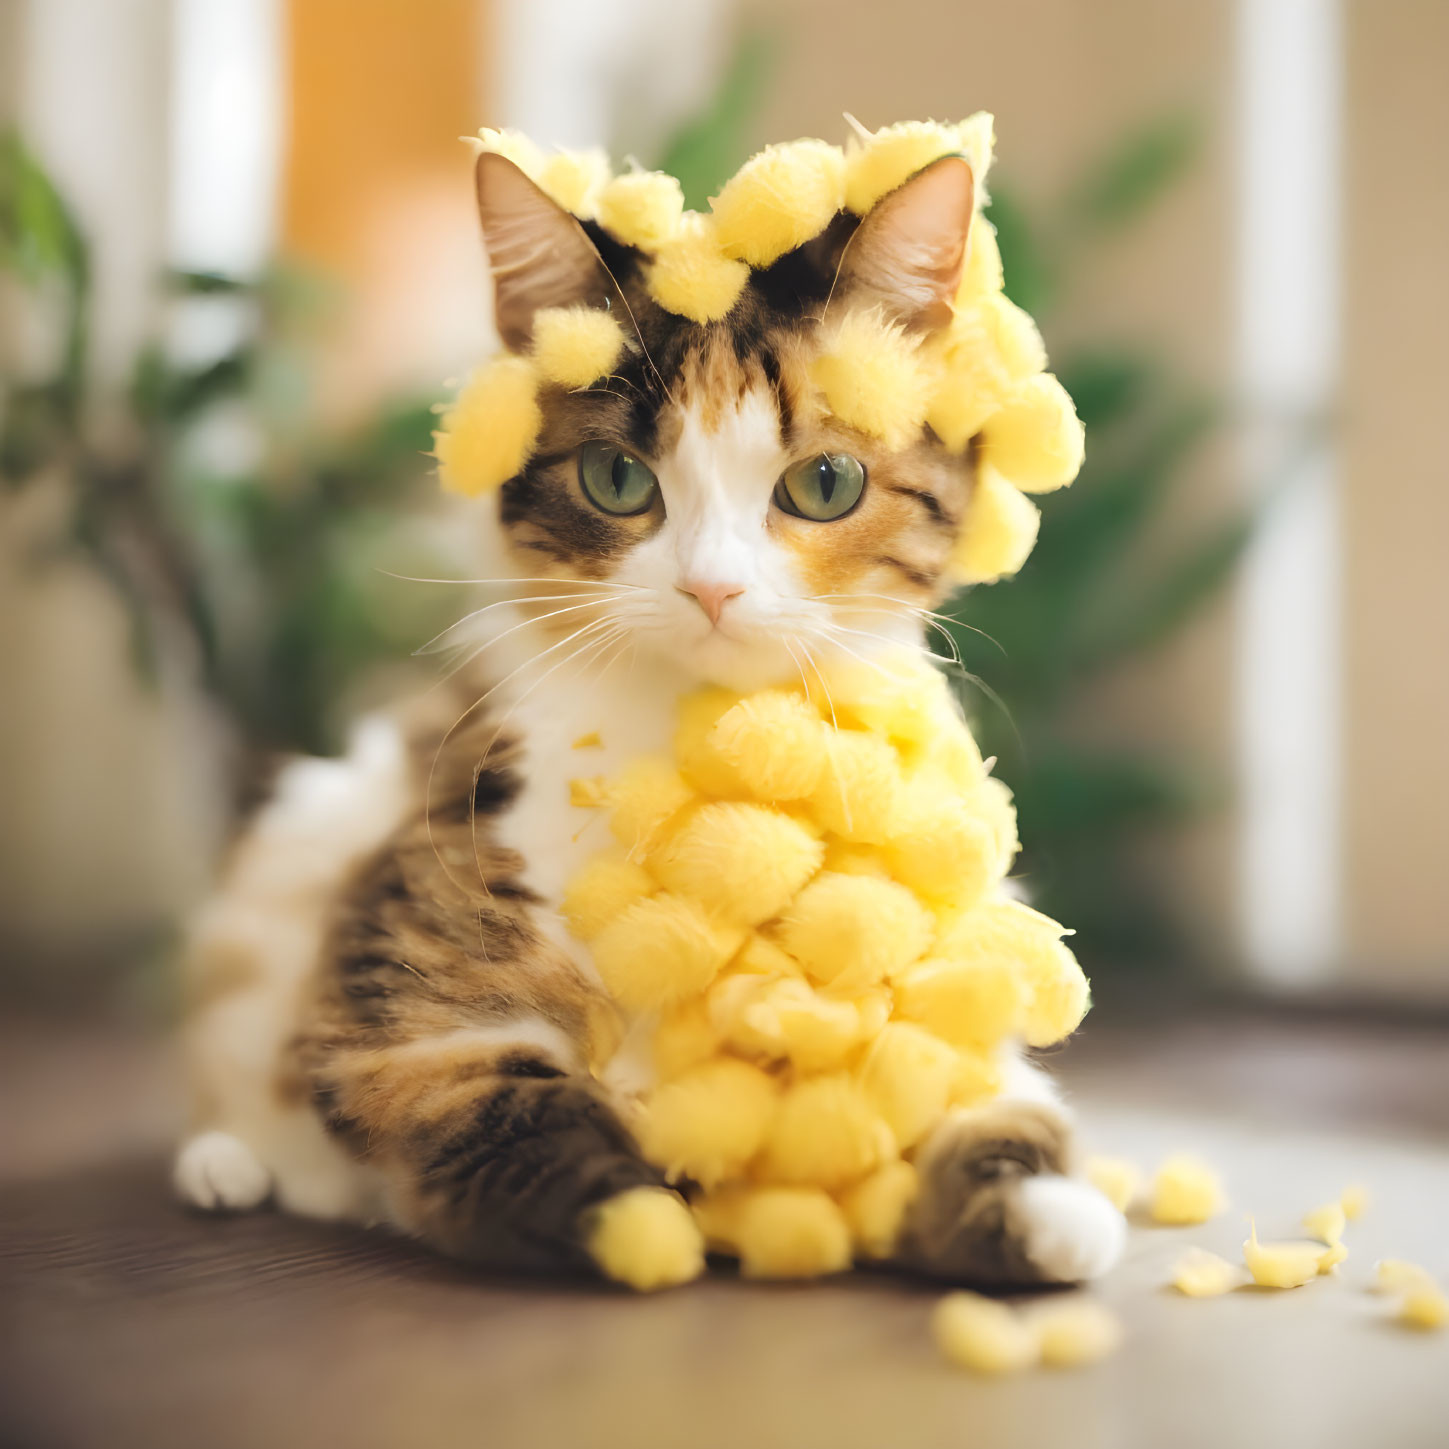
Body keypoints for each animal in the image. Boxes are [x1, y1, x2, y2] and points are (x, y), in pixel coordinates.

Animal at [169, 147, 1118, 1292]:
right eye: (617, 478)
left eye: (826, 482)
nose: (711, 588)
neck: (703, 748)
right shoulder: (406, 995)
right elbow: (514, 1117)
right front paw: (647, 1220)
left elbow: (987, 1097)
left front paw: (1043, 1206)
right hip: (295, 852)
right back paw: (226, 1162)